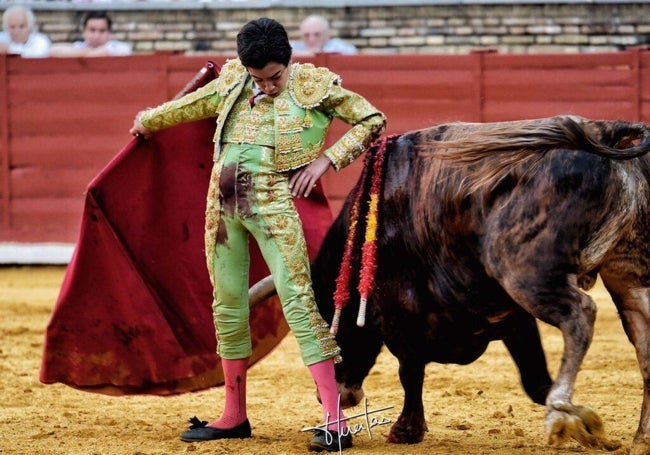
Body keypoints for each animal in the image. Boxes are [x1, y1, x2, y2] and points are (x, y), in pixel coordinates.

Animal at [251, 116, 648, 452]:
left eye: (327, 324)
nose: (333, 397)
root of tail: (603, 132)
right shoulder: (512, 317)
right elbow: (534, 381)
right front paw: (586, 424)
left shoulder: (399, 318)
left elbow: (409, 372)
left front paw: (406, 430)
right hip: (628, 275)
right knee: (643, 344)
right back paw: (640, 438)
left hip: (524, 272)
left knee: (580, 314)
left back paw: (560, 412)